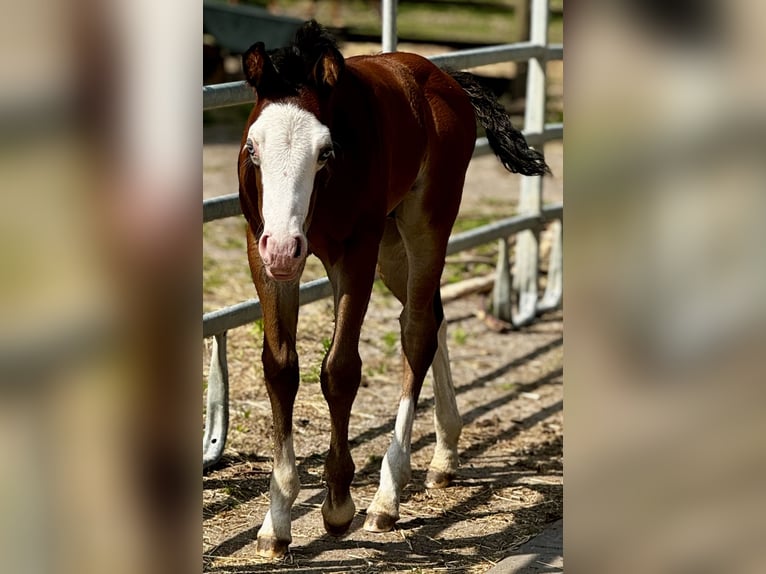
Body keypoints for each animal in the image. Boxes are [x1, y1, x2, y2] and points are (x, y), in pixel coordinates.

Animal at [237, 20, 548, 558]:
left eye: (325, 152)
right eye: (253, 148)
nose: (284, 247)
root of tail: (440, 75)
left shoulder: (354, 253)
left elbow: (340, 370)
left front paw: (338, 505)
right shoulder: (263, 254)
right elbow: (280, 369)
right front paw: (275, 523)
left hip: (424, 223)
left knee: (418, 330)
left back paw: (387, 495)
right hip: (390, 244)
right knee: (432, 315)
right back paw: (444, 455)